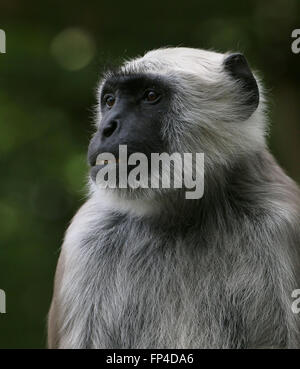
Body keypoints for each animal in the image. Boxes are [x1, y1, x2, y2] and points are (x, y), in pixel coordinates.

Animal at [48, 47, 298, 346]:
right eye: (109, 101)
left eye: (150, 96)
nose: (106, 128)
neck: (182, 218)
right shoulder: (86, 237)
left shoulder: (281, 222)